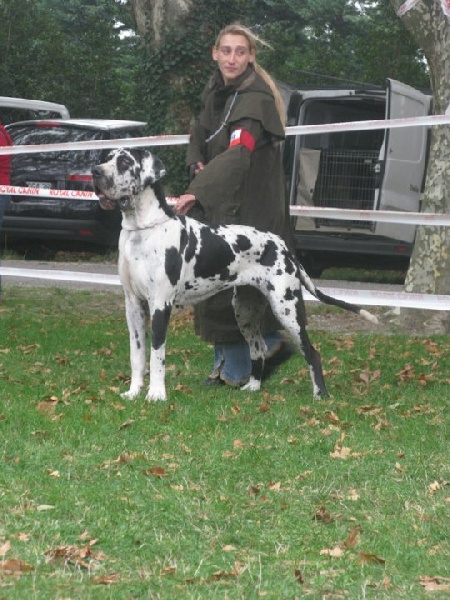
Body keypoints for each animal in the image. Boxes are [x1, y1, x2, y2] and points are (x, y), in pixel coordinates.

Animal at [93, 148, 378, 404]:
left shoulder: (160, 306)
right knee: (259, 349)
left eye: (124, 162)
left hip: (287, 309)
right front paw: (133, 392)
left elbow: (157, 355)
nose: (95, 171)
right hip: (245, 311)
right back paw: (253, 387)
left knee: (312, 352)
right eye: (107, 158)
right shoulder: (134, 306)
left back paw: (321, 395)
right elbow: (137, 355)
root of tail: (284, 246)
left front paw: (156, 394)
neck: (142, 229)